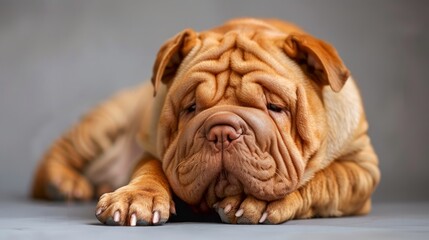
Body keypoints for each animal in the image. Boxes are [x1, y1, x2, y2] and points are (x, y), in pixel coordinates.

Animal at [31, 18, 380, 225]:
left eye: (275, 106)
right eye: (190, 107)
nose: (222, 130)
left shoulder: (361, 169)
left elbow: (324, 179)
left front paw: (254, 200)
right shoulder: (153, 148)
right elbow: (150, 169)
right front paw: (135, 197)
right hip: (105, 121)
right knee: (57, 155)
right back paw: (64, 184)